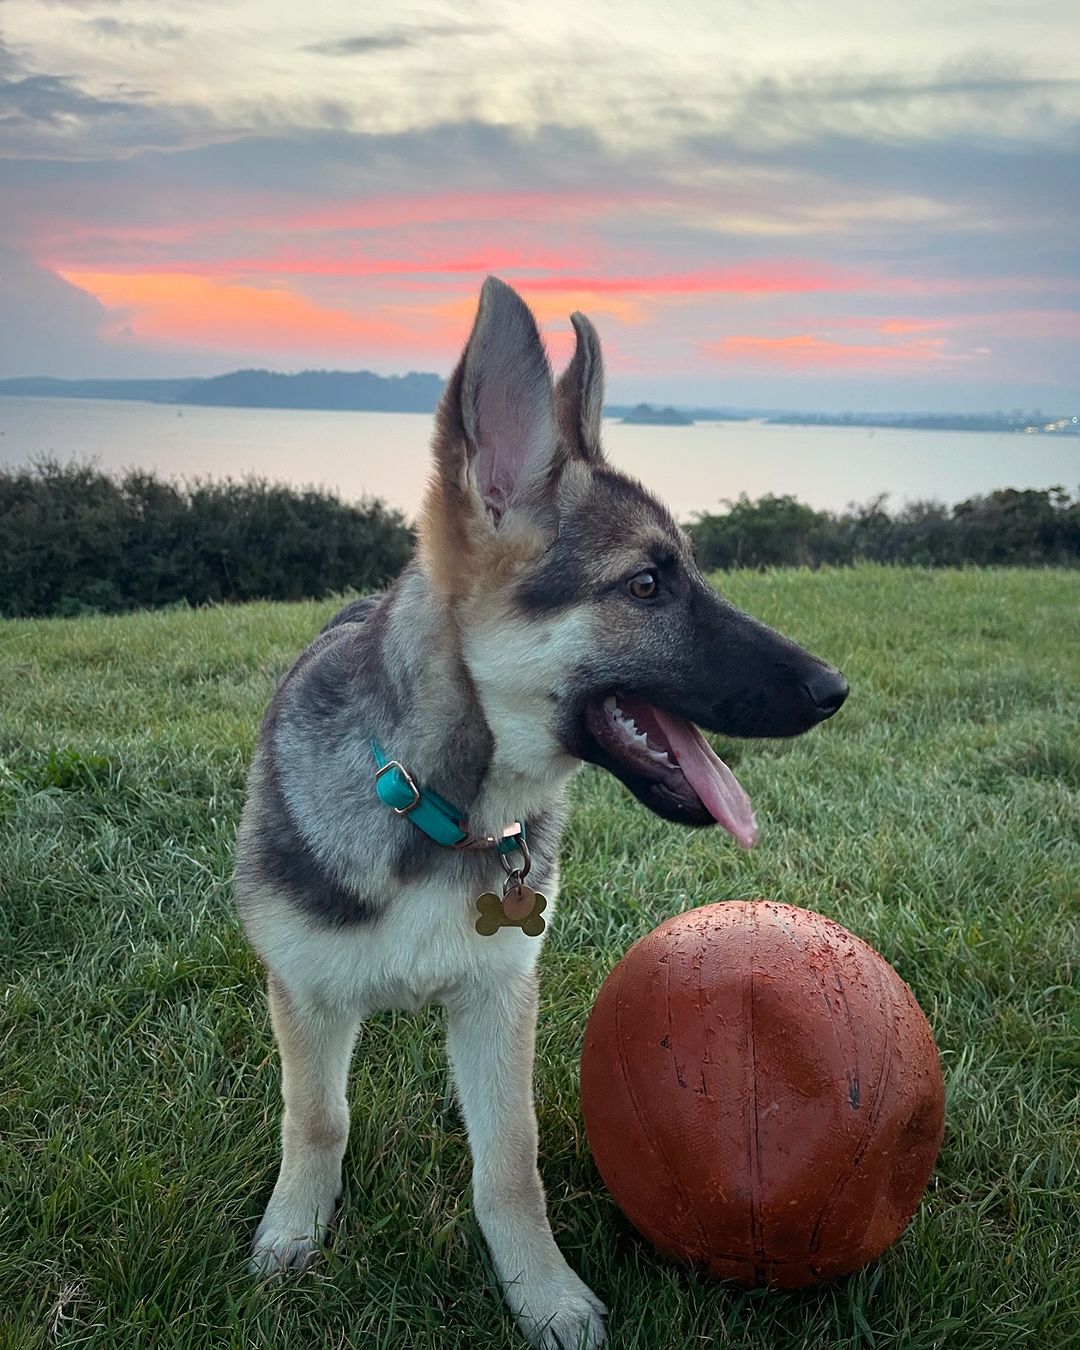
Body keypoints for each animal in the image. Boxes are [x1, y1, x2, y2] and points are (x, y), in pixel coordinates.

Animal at [232, 276, 847, 1350]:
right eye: (645, 585)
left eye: (685, 570)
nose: (833, 689)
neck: (438, 809)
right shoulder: (305, 996)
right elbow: (316, 1118)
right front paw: (294, 1232)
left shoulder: (497, 997)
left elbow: (510, 1158)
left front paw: (541, 1290)